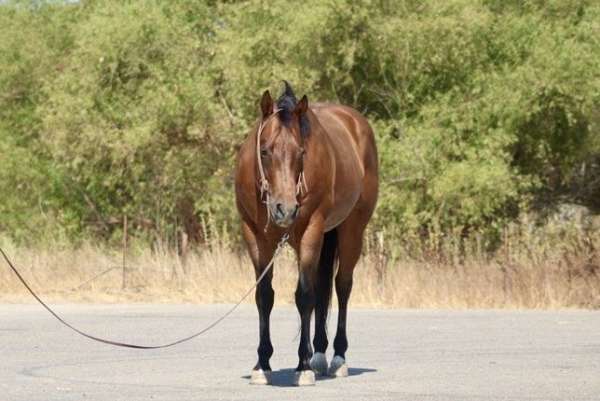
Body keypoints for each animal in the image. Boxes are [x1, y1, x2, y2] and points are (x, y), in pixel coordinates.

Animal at [233, 80, 378, 384]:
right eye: (264, 151)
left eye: (301, 153)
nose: (285, 209)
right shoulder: (255, 237)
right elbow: (264, 296)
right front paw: (262, 363)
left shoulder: (311, 231)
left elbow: (303, 296)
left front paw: (302, 366)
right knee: (323, 287)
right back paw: (319, 354)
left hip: (351, 230)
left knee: (342, 286)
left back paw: (337, 358)